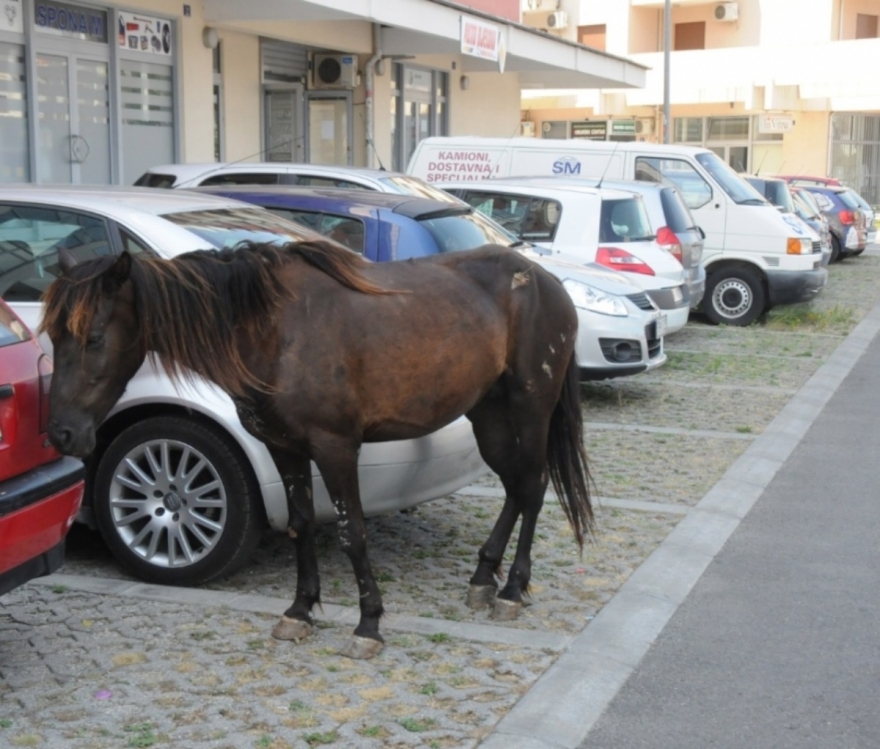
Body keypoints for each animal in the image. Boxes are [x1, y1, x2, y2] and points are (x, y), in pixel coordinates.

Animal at [41, 240, 592, 656]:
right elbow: (300, 525)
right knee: (515, 488)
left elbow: (353, 534)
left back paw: (513, 590)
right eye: (54, 333)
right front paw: (300, 611)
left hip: (530, 408)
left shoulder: (335, 448)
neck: (274, 331)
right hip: (488, 415)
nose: (61, 433)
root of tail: (545, 280)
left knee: (534, 486)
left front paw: (368, 624)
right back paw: (483, 577)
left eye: (93, 336)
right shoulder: (284, 448)